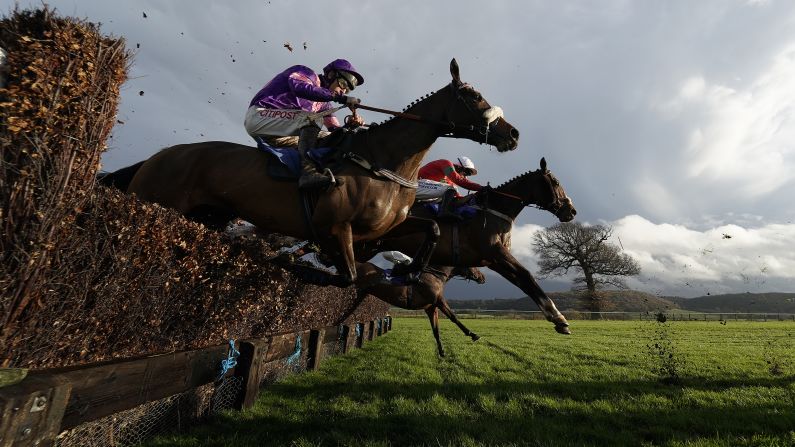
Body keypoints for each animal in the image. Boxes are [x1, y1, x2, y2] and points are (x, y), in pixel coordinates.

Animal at [118, 59, 520, 286]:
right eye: (474, 97)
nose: (513, 133)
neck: (384, 161)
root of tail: (156, 157)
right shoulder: (337, 227)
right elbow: (347, 277)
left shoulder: (383, 229)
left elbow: (433, 229)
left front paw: (410, 269)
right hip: (157, 204)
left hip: (207, 217)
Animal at [354, 262, 486, 356]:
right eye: (473, 265)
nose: (483, 277)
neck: (435, 276)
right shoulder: (439, 301)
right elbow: (453, 317)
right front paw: (473, 334)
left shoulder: (431, 308)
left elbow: (436, 330)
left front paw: (441, 351)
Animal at [358, 159, 576, 334]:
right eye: (556, 182)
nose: (571, 210)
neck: (493, 209)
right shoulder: (496, 252)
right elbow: (526, 275)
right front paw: (559, 317)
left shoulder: (492, 260)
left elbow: (521, 282)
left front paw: (556, 318)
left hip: (370, 246)